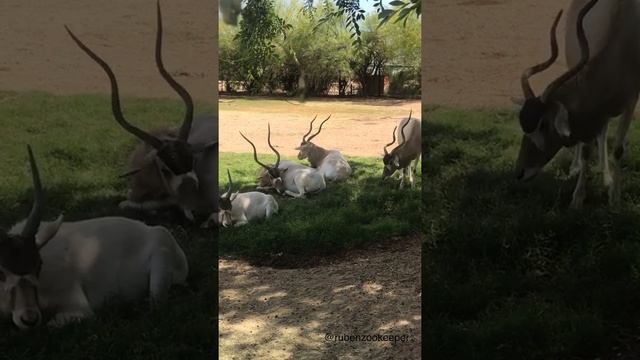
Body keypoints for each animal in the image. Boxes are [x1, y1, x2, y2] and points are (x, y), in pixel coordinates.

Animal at [516, 0, 640, 208]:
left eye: (544, 124)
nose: (519, 172)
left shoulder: (630, 101)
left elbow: (618, 150)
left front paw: (614, 197)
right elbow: (586, 150)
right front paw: (577, 198)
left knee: (603, 132)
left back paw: (606, 176)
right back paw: (576, 168)